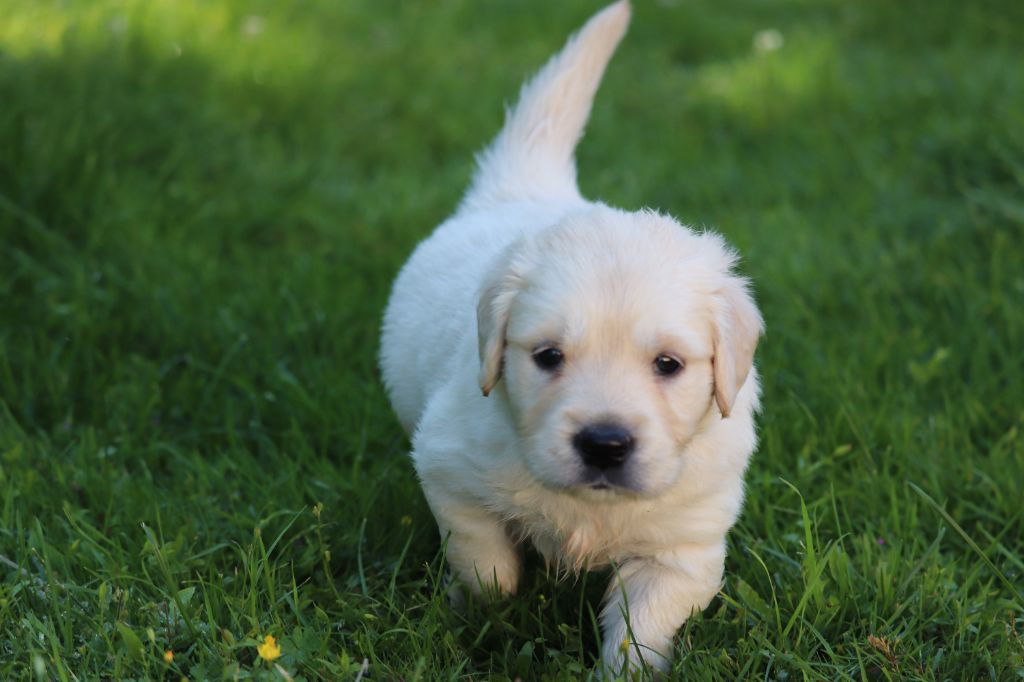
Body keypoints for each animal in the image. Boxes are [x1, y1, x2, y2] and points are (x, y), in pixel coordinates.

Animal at [380, 0, 765, 667]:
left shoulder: (683, 548)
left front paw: (627, 669)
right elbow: (487, 566)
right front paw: (478, 616)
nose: (604, 444)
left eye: (668, 364)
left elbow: (641, 630)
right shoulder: (449, 469)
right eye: (548, 356)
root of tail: (528, 188)